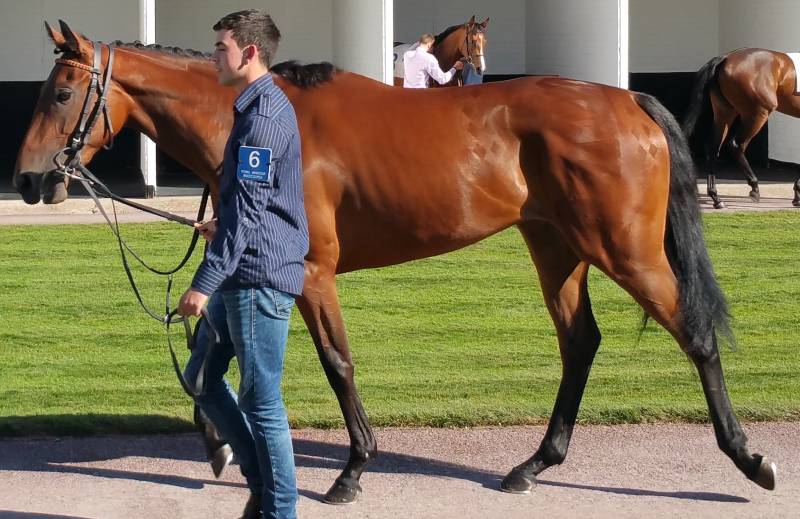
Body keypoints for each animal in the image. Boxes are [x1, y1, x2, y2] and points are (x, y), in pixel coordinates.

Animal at [14, 21, 777, 504]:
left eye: (61, 93)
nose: (27, 180)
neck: (254, 116)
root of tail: (628, 98)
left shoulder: (309, 273)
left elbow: (337, 363)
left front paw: (352, 468)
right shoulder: (248, 268)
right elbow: (208, 358)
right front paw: (221, 445)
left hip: (626, 251)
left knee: (695, 334)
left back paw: (748, 458)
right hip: (556, 246)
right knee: (580, 343)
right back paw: (533, 464)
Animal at [683, 48, 800, 208]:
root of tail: (725, 58)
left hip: (725, 111)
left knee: (713, 147)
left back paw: (716, 198)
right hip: (758, 113)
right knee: (737, 144)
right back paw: (754, 187)